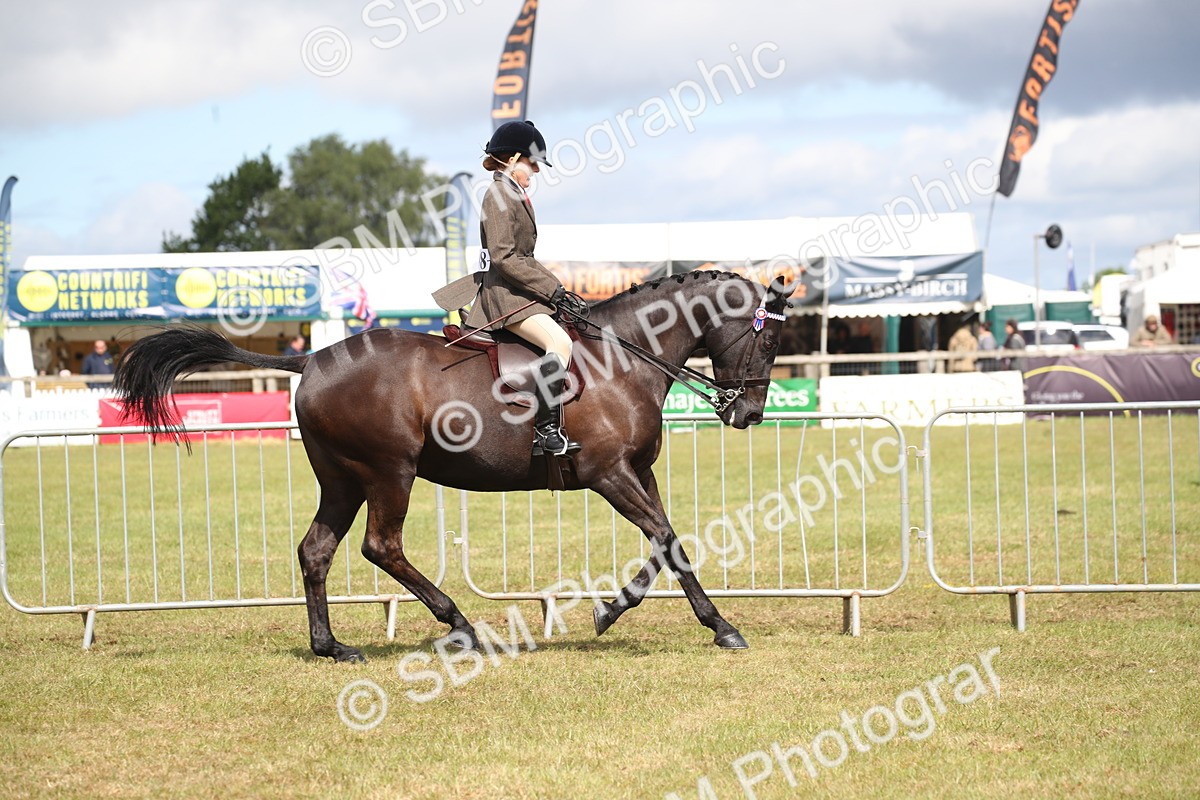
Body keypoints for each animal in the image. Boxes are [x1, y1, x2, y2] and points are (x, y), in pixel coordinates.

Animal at [114, 271, 797, 661]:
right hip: (388, 472)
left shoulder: (637, 472)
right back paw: (461, 626)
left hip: (342, 480)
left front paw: (664, 617)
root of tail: (310, 359)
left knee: (316, 551)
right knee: (381, 547)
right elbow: (664, 537)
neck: (623, 358)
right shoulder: (609, 475)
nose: (751, 412)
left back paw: (331, 647)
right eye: (767, 337)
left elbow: (667, 541)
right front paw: (677, 621)